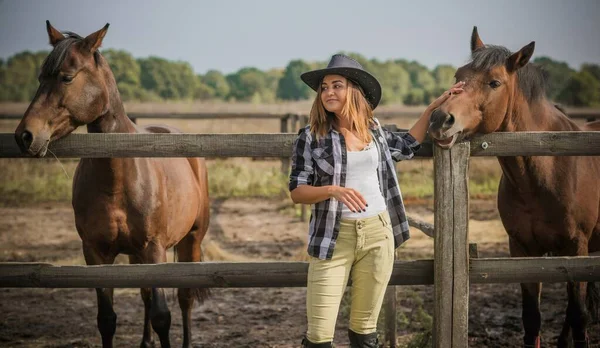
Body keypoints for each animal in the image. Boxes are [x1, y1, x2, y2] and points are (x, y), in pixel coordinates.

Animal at [14, 22, 211, 348]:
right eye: (41, 78)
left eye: (67, 77)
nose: (25, 136)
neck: (118, 181)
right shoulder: (96, 253)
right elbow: (107, 319)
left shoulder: (154, 251)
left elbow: (162, 315)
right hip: (135, 255)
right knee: (145, 296)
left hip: (190, 239)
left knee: (184, 298)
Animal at [428, 27, 596, 348]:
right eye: (458, 76)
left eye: (494, 82)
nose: (439, 119)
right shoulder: (522, 249)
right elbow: (532, 319)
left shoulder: (577, 248)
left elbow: (579, 316)